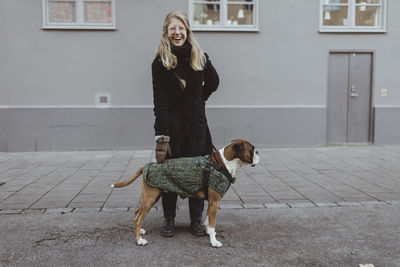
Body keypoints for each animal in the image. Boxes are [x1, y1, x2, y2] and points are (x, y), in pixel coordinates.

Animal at [110, 140, 260, 249]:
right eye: (252, 149)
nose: (258, 152)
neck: (222, 163)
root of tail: (149, 165)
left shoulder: (211, 203)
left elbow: (207, 220)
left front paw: (207, 231)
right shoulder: (214, 202)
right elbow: (212, 224)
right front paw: (214, 241)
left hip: (150, 198)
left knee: (137, 212)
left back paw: (140, 231)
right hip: (150, 198)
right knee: (138, 218)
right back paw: (139, 240)